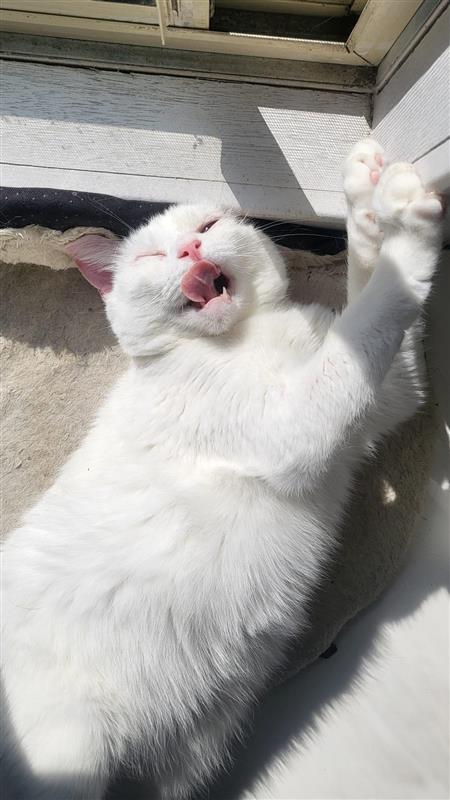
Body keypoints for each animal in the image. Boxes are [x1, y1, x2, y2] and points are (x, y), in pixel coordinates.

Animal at [1, 139, 443, 800]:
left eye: (208, 228)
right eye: (153, 255)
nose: (189, 251)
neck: (248, 336)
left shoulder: (390, 397)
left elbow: (367, 296)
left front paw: (367, 192)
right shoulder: (295, 426)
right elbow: (370, 313)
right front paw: (407, 218)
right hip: (67, 755)